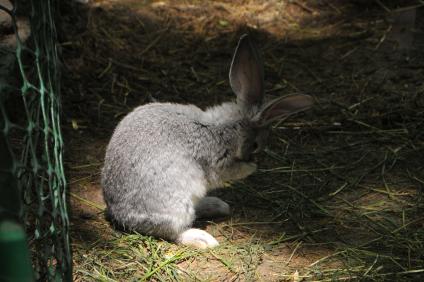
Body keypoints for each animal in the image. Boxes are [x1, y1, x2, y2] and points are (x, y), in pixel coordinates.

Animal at [101, 34, 314, 248]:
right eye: (256, 145)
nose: (253, 158)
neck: (228, 127)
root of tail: (119, 214)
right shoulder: (219, 163)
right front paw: (251, 168)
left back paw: (217, 205)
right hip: (176, 205)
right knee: (173, 233)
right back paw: (203, 239)